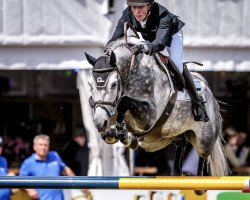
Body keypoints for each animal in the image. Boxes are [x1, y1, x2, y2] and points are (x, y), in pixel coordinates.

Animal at [85, 37, 228, 194]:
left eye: (114, 84)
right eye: (90, 85)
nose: (99, 122)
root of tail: (211, 97)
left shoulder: (148, 117)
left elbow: (124, 102)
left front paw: (120, 129)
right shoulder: (108, 109)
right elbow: (113, 112)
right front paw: (113, 132)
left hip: (204, 138)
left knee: (203, 155)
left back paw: (198, 185)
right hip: (167, 136)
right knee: (181, 144)